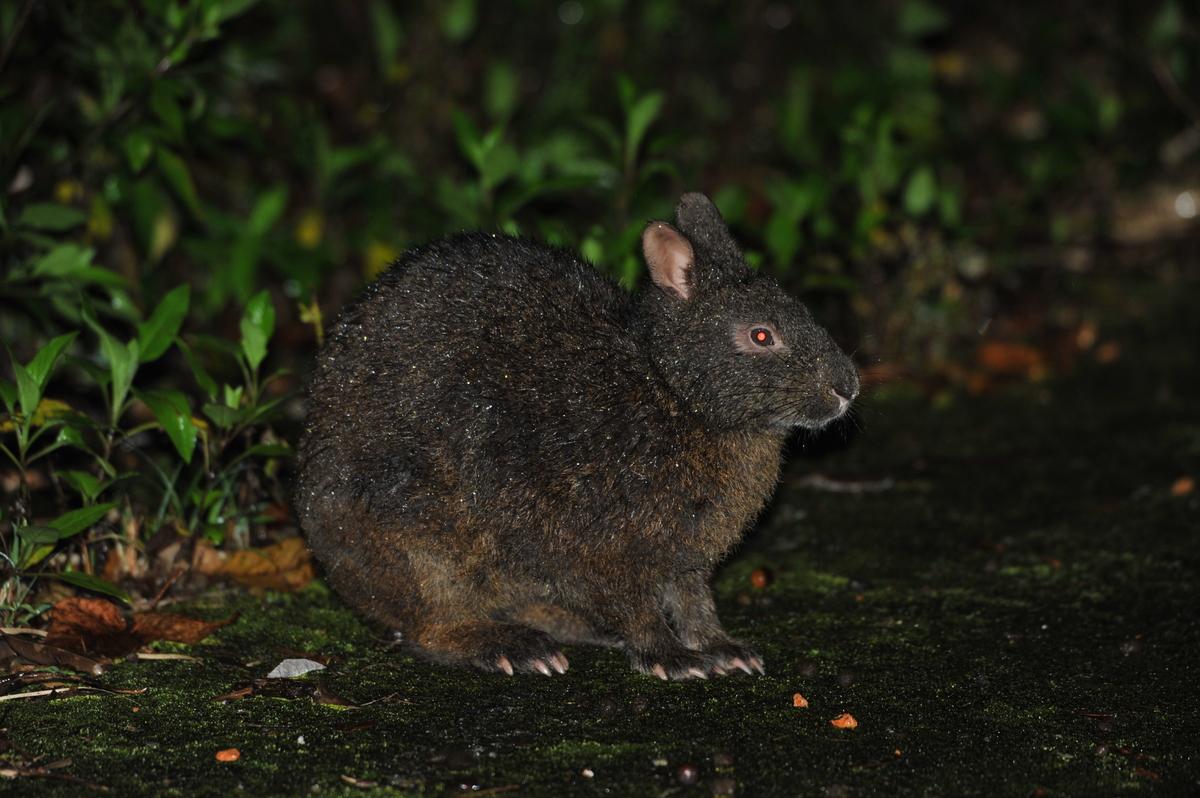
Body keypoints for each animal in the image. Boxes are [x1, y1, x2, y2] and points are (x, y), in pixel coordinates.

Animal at [295, 192, 859, 676]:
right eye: (761, 335)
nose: (847, 387)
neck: (671, 390)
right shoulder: (600, 548)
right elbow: (638, 607)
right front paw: (669, 657)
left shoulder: (684, 558)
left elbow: (695, 605)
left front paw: (723, 649)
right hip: (420, 542)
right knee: (428, 629)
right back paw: (512, 647)